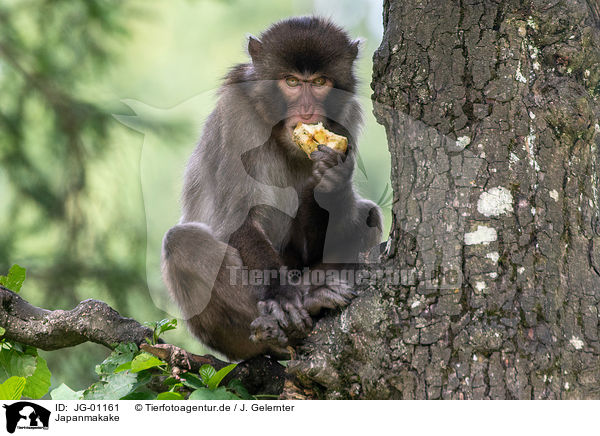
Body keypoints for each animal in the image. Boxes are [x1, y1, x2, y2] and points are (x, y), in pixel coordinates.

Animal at [162, 15, 382, 360]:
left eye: (319, 82)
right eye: (291, 82)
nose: (307, 112)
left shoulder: (347, 121)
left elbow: (310, 244)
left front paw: (331, 184)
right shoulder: (236, 117)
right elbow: (238, 218)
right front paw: (281, 296)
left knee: (368, 214)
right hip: (215, 332)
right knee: (182, 241)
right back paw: (286, 322)